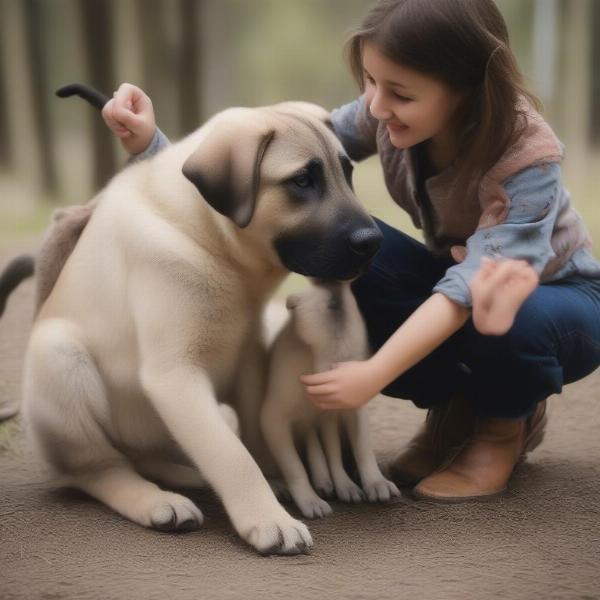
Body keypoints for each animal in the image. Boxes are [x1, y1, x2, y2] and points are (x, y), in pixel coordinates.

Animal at [260, 278, 396, 516]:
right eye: (333, 306)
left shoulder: (342, 412)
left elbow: (358, 447)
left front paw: (374, 483)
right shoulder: (273, 419)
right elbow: (294, 466)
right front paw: (310, 501)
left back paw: (330, 481)